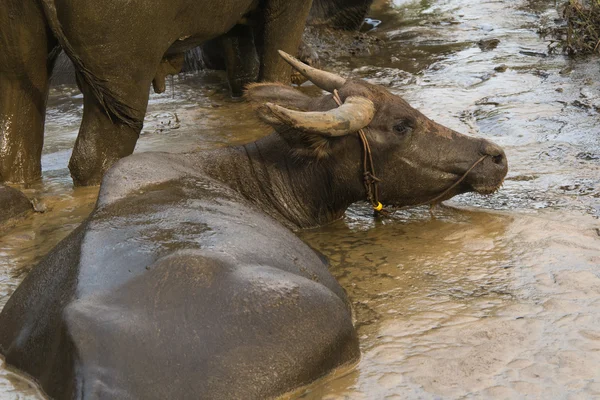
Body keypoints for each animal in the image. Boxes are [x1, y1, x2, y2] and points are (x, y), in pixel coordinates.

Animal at [2, 0, 314, 186]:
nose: (309, 59)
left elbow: (242, 64)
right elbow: (274, 59)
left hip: (18, 41)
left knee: (15, 141)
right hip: (122, 61)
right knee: (93, 157)